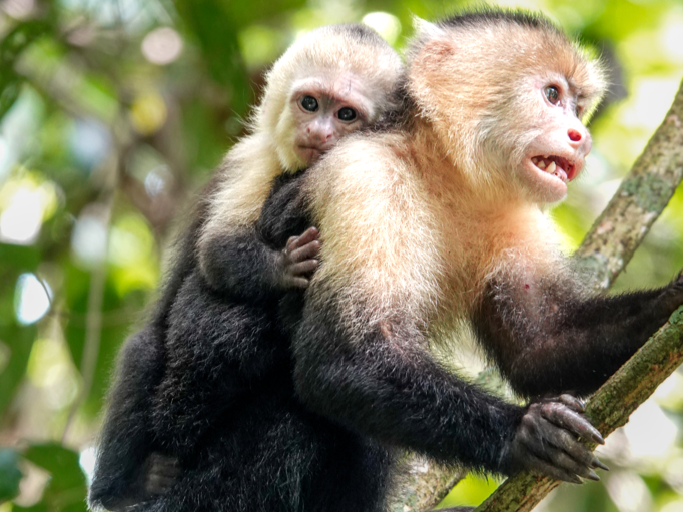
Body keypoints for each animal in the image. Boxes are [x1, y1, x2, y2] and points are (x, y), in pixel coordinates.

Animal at [87, 23, 404, 512]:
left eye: (346, 114)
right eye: (310, 104)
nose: (317, 132)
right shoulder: (254, 159)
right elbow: (217, 252)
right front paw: (285, 266)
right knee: (147, 349)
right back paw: (124, 488)